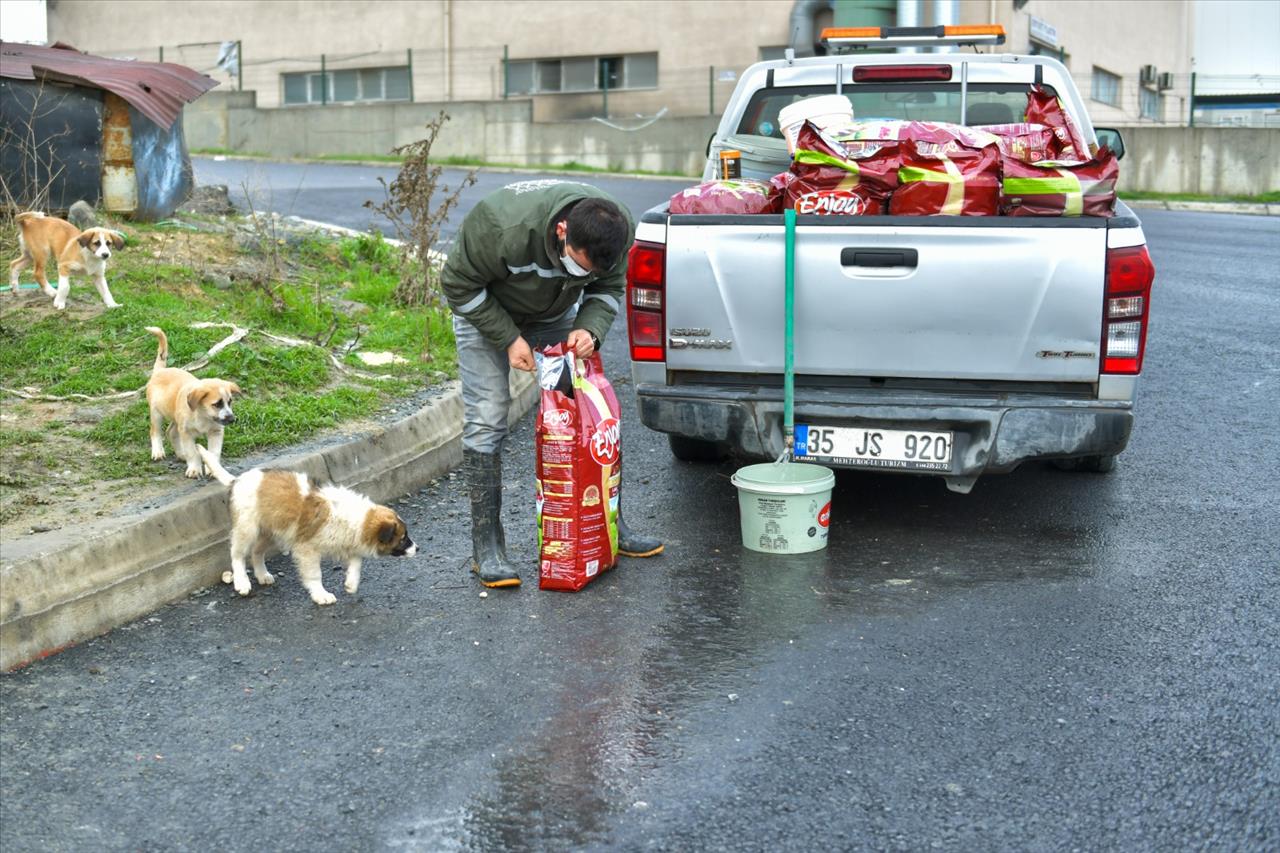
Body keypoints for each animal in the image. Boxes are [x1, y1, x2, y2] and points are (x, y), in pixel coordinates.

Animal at [146, 325, 243, 473]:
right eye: (217, 404)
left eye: (230, 402)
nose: (232, 419)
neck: (203, 416)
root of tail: (160, 371)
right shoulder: (186, 433)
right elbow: (192, 452)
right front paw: (194, 470)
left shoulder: (216, 432)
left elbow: (214, 452)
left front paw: (212, 468)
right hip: (156, 413)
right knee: (155, 431)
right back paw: (158, 452)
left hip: (175, 419)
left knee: (171, 432)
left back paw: (181, 454)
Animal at [194, 440, 417, 601]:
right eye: (403, 538)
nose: (418, 548)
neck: (355, 517)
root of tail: (237, 480)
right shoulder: (307, 549)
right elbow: (315, 574)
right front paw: (321, 595)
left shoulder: (346, 542)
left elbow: (357, 561)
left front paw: (351, 583)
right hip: (247, 528)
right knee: (237, 555)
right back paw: (242, 582)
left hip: (273, 532)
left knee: (257, 551)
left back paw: (262, 574)